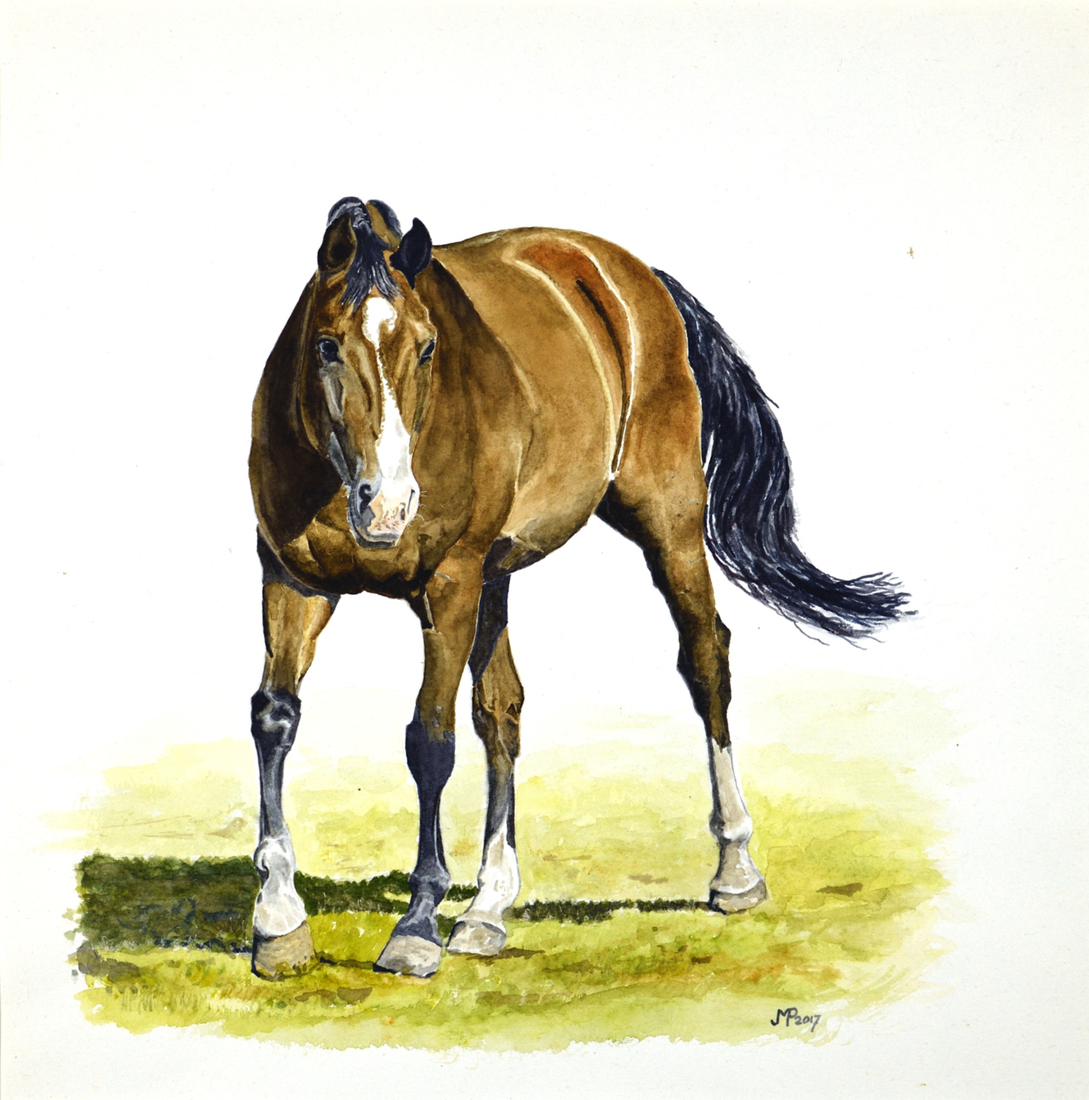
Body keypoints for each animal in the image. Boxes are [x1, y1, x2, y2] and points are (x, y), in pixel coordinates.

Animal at [247, 197, 910, 980]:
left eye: (428, 348)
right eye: (325, 346)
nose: (388, 506)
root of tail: (633, 276)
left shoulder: (450, 584)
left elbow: (430, 740)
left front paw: (415, 926)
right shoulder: (292, 579)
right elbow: (275, 718)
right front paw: (278, 919)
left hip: (665, 518)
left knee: (705, 658)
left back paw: (735, 870)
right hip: (497, 575)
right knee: (501, 709)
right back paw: (487, 908)